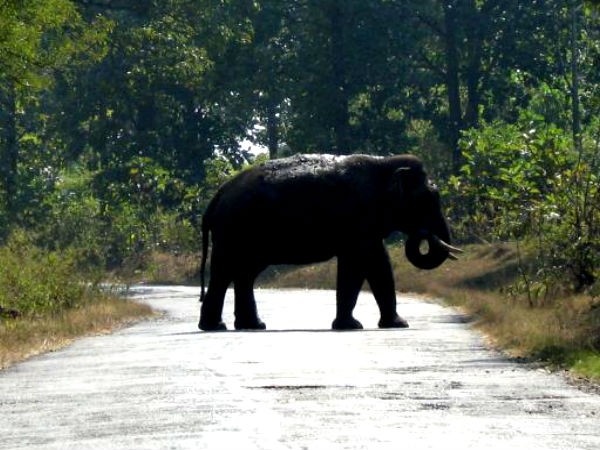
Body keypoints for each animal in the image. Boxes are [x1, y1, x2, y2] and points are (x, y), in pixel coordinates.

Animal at [199, 153, 462, 332]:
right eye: (429, 198)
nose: (424, 234)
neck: (384, 163)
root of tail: (217, 196)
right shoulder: (357, 218)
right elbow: (357, 266)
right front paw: (353, 326)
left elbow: (379, 264)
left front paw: (396, 325)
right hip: (234, 230)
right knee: (225, 271)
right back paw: (216, 327)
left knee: (245, 273)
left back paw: (253, 325)